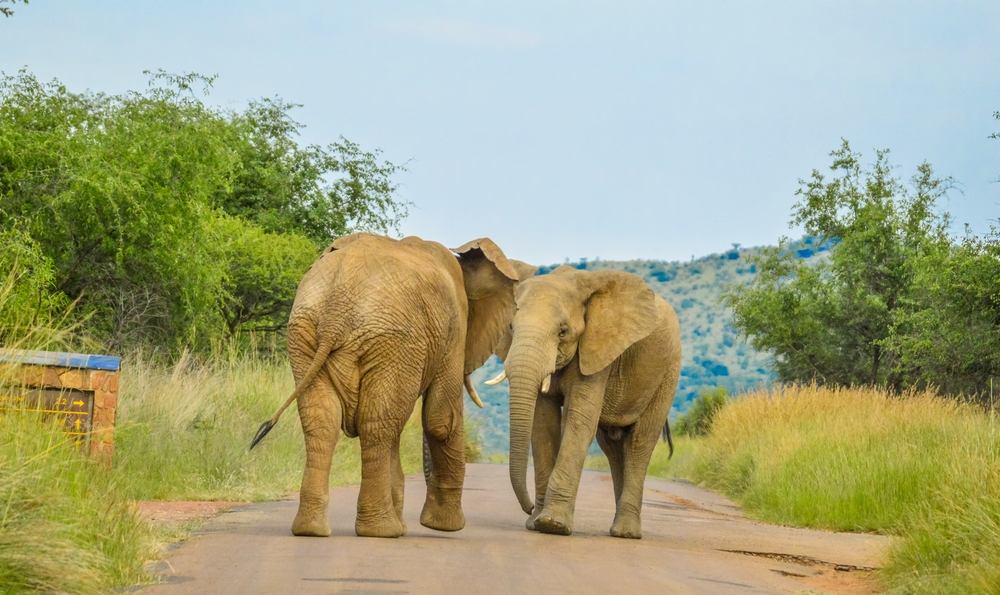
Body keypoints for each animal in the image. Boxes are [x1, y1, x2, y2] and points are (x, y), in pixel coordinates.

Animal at [250, 233, 520, 540]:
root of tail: (337, 305)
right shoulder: (454, 329)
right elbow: (441, 420)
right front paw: (443, 526)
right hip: (392, 340)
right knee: (377, 425)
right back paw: (381, 531)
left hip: (306, 332)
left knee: (325, 421)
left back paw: (312, 530)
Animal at [488, 266, 684, 540]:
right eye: (510, 327)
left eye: (563, 331)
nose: (528, 509)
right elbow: (542, 425)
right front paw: (538, 523)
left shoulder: (597, 350)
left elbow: (579, 421)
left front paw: (552, 524)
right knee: (613, 448)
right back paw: (618, 529)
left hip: (667, 373)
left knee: (639, 442)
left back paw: (626, 533)